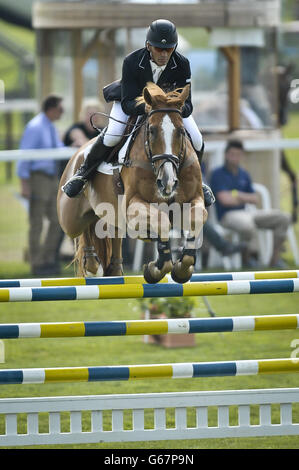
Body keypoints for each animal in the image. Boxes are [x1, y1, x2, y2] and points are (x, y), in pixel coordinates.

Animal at [58, 81, 209, 282]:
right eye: (151, 131)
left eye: (182, 132)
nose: (167, 183)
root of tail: (78, 153)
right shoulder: (133, 206)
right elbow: (161, 221)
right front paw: (156, 268)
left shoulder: (193, 199)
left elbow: (196, 217)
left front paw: (182, 269)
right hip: (71, 220)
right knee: (84, 228)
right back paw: (92, 265)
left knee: (110, 231)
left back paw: (113, 268)